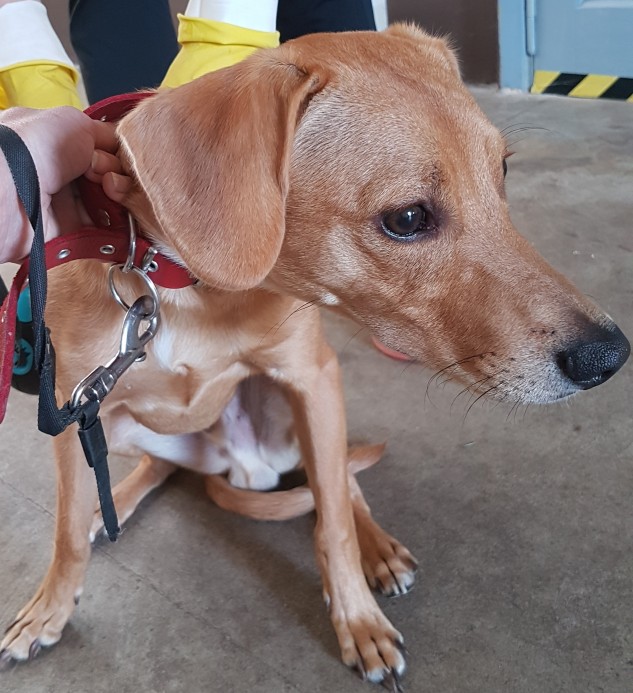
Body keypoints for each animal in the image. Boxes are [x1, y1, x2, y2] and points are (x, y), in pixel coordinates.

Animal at [1, 24, 629, 688]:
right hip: (121, 427)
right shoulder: (74, 408)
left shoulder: (311, 376)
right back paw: (113, 504)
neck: (173, 284)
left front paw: (357, 617)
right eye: (408, 217)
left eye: (502, 171)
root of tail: (239, 468)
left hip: (306, 410)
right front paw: (48, 610)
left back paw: (378, 546)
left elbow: (333, 524)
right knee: (158, 466)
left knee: (343, 479)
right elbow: (67, 534)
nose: (609, 357)